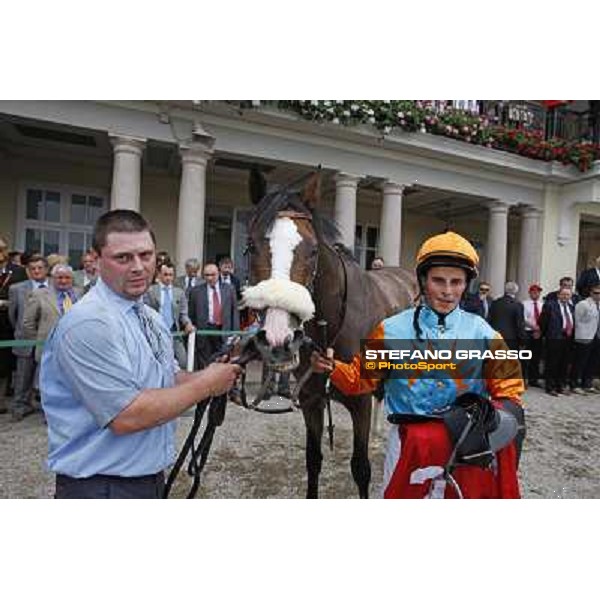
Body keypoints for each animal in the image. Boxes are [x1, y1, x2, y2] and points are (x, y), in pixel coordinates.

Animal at [240, 169, 418, 496]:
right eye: (251, 246)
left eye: (312, 251)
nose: (277, 337)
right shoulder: (311, 399)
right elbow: (313, 460)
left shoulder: (359, 403)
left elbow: (361, 469)